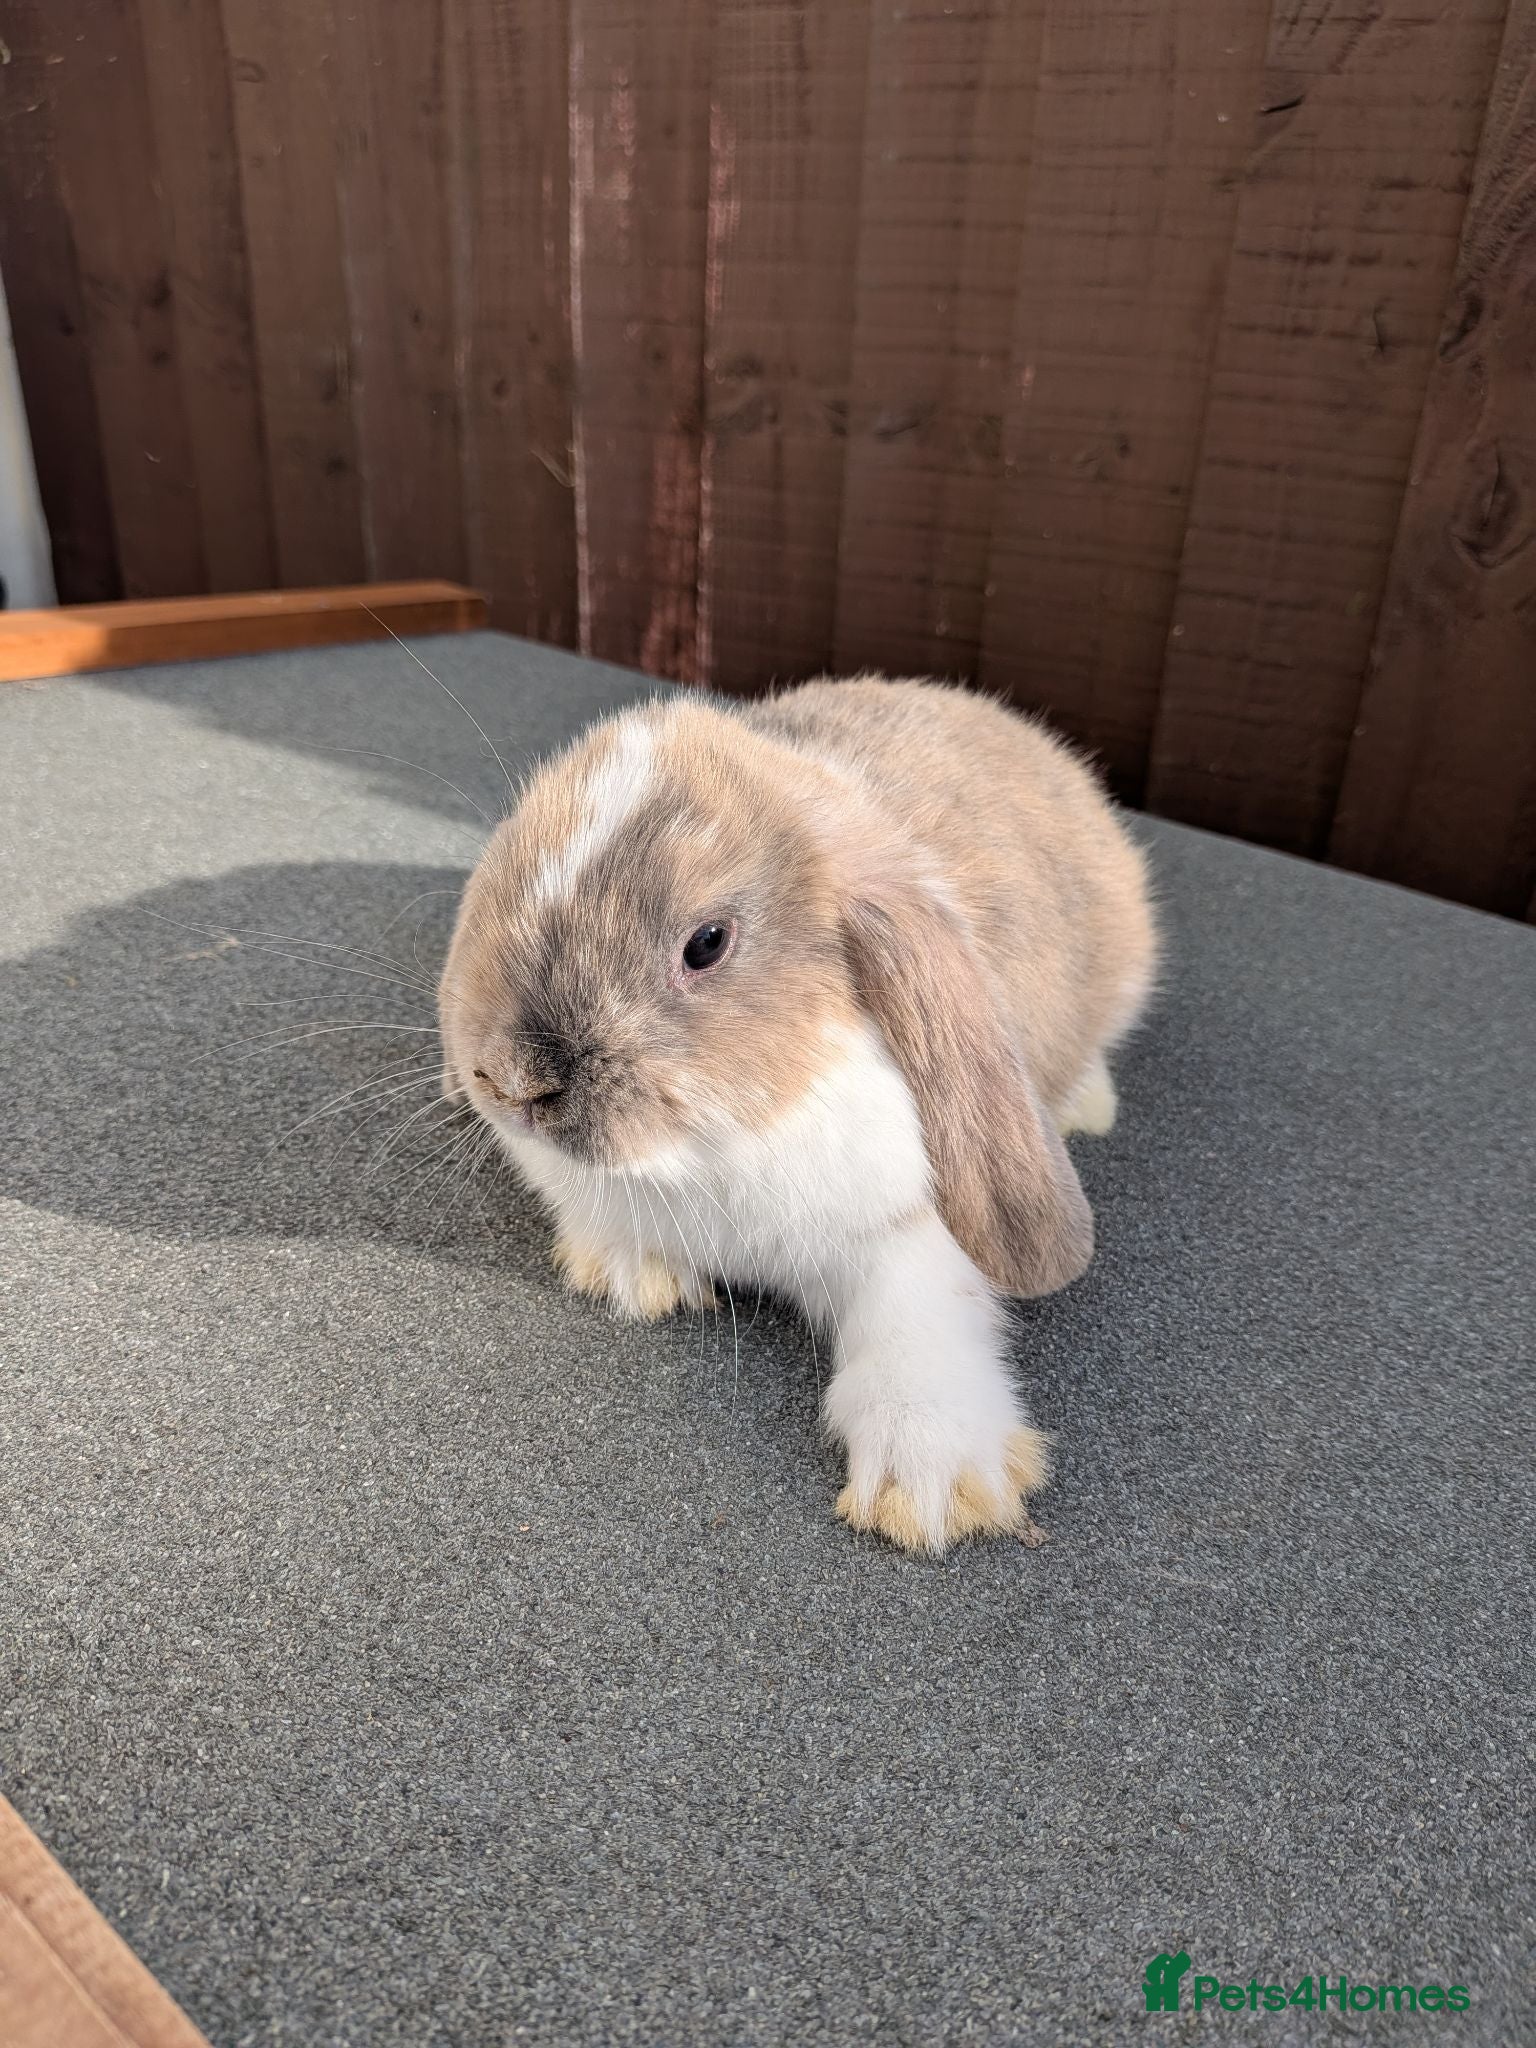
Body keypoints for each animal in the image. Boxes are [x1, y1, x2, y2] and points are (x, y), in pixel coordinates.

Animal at [438, 676, 1157, 1554]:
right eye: (500, 876)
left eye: (707, 943)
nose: (509, 1080)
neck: (712, 1149)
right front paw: (632, 1276)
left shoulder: (907, 1226)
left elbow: (917, 1324)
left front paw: (933, 1488)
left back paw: (1089, 1106)